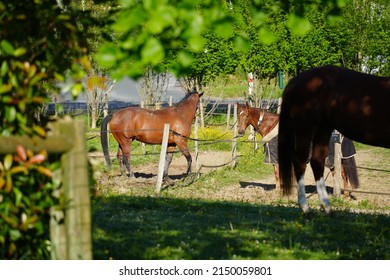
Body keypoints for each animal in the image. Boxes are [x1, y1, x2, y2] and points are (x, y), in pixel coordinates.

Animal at [278, 65, 388, 213]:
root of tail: (294, 81)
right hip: (305, 128)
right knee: (300, 161)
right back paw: (305, 207)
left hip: (324, 128)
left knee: (317, 161)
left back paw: (326, 206)